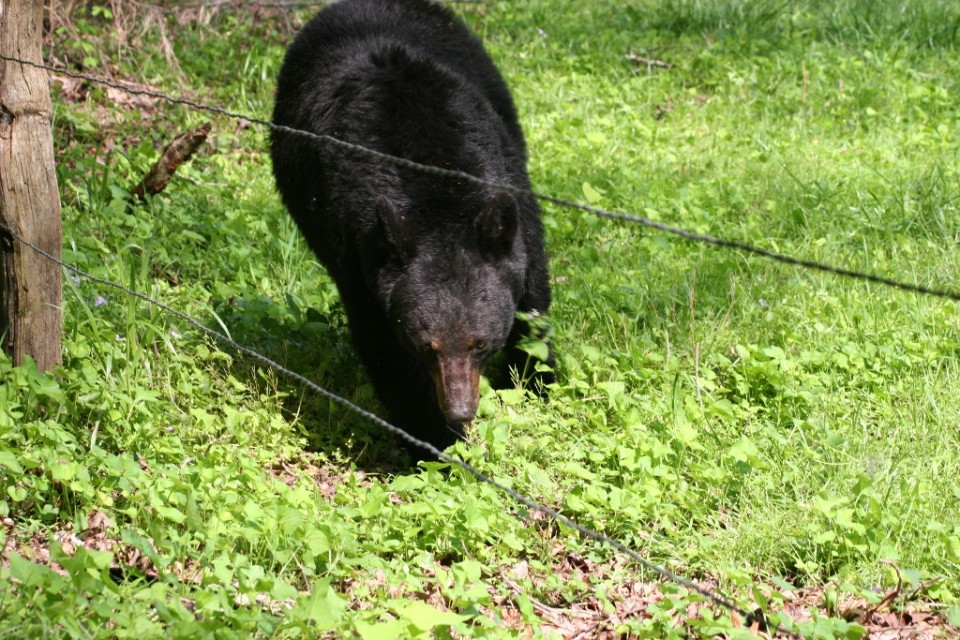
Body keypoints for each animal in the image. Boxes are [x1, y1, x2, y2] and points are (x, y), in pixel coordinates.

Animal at [270, 0, 556, 456]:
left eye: (480, 343)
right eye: (427, 345)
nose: (461, 409)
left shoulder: (509, 183)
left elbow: (531, 292)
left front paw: (535, 377)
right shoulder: (357, 244)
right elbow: (383, 343)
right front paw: (437, 438)